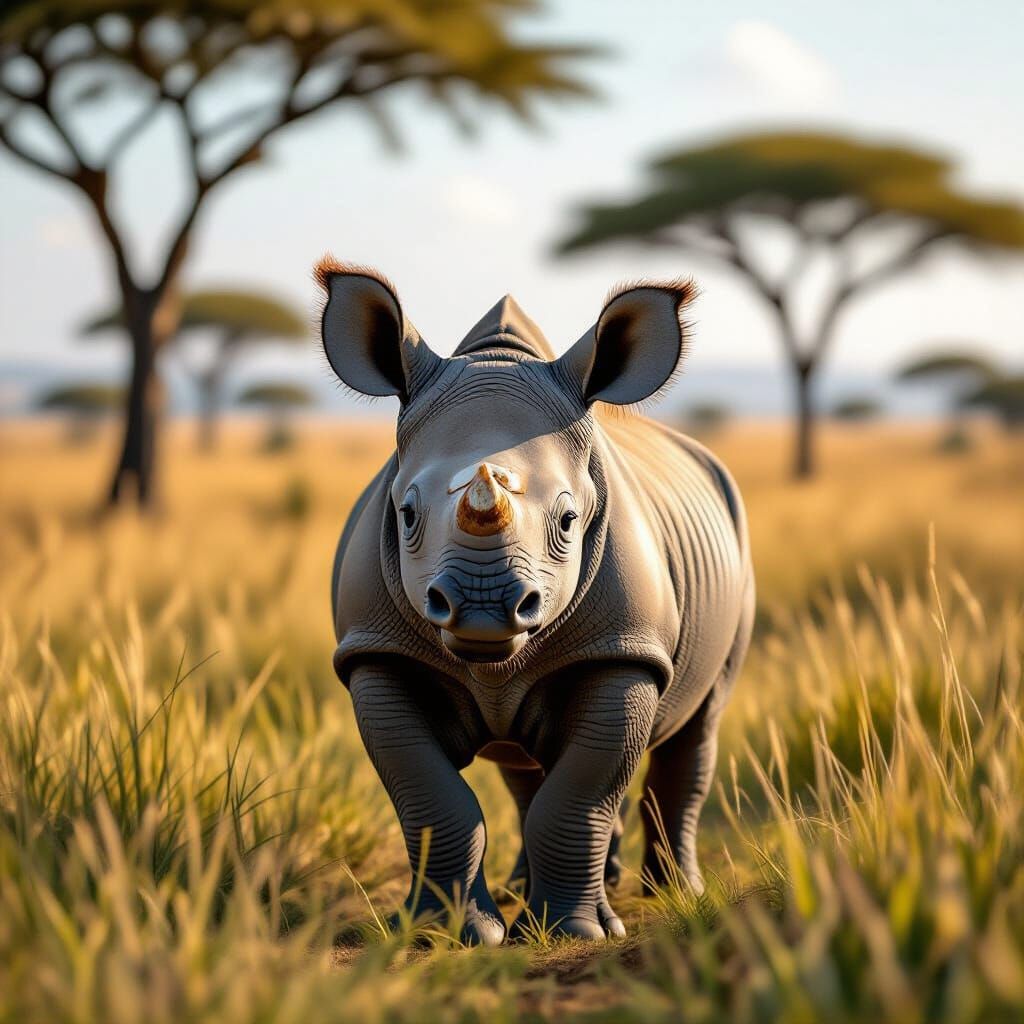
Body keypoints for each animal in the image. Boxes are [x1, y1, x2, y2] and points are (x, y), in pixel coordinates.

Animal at [320, 258, 754, 945]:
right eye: (407, 514)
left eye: (570, 521)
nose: (481, 608)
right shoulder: (376, 651)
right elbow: (430, 796)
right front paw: (446, 935)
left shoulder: (623, 651)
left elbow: (581, 792)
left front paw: (576, 934)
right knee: (523, 767)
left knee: (697, 727)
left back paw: (672, 893)